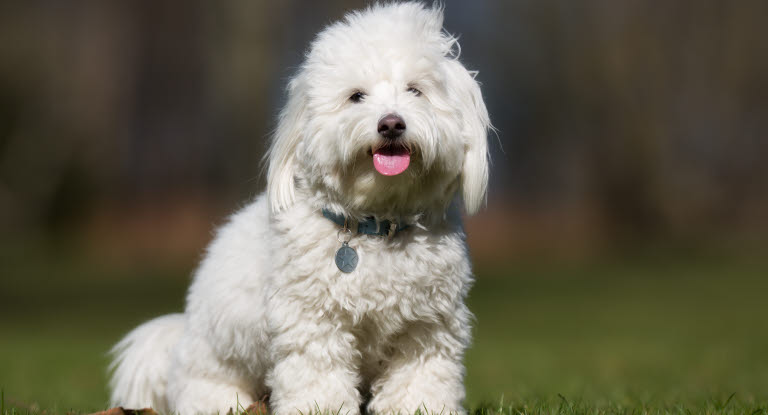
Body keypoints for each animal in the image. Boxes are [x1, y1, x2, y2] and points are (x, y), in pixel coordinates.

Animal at [109, 1, 486, 414]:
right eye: (356, 96)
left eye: (416, 90)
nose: (391, 124)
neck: (376, 225)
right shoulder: (312, 319)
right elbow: (319, 375)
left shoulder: (426, 324)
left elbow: (419, 379)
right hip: (214, 365)